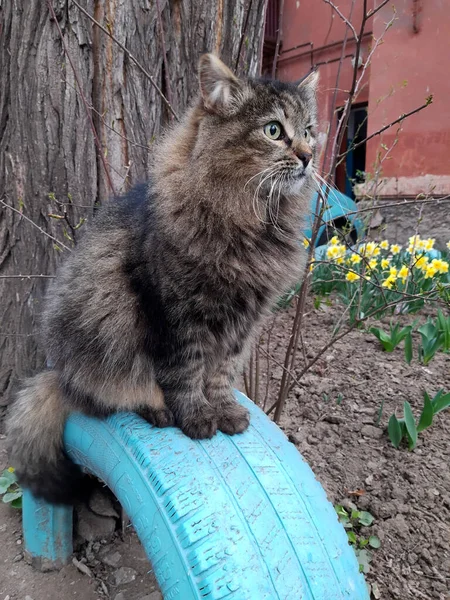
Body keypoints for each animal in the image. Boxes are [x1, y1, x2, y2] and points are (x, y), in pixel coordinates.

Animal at [5, 54, 318, 504]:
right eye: (274, 131)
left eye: (310, 130)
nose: (309, 155)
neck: (251, 222)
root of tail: (59, 375)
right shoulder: (175, 315)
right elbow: (186, 374)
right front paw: (198, 417)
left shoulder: (243, 323)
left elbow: (221, 375)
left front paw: (225, 412)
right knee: (109, 394)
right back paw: (156, 407)